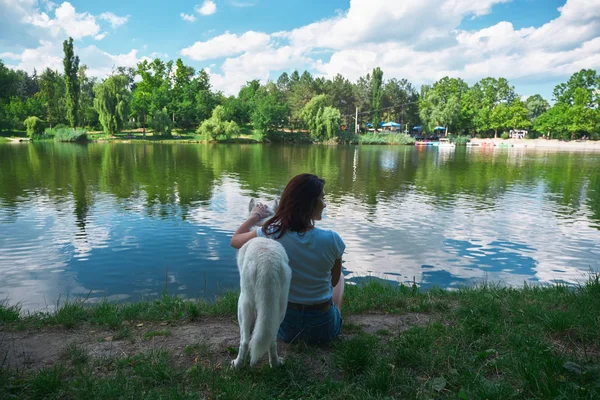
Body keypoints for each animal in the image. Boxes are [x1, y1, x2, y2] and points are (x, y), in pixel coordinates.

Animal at [232, 199, 290, 368]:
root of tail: (266, 262)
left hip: (243, 302)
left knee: (245, 341)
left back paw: (237, 364)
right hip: (281, 307)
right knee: (271, 340)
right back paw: (275, 364)